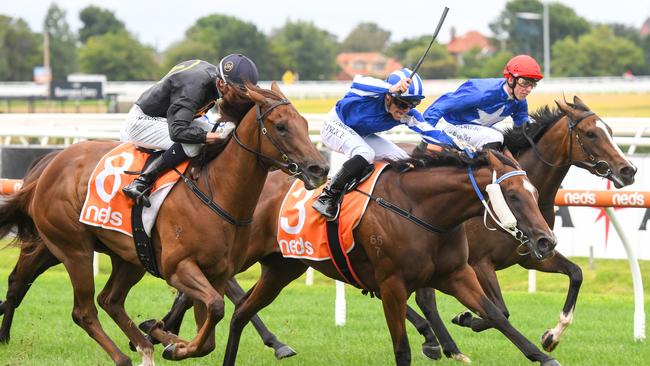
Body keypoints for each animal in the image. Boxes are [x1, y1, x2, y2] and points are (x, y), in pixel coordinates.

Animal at [0, 81, 326, 364]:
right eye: (281, 126)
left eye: (305, 124)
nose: (319, 168)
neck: (216, 191)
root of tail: (49, 165)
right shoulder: (179, 267)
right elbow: (216, 308)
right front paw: (170, 341)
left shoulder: (216, 274)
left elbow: (208, 333)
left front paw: (167, 338)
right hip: (72, 248)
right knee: (82, 310)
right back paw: (123, 356)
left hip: (129, 255)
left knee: (110, 300)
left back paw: (145, 345)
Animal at [215, 149, 560, 366]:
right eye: (513, 195)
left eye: (534, 192)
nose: (547, 240)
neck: (421, 210)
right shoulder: (392, 285)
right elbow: (402, 350)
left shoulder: (457, 274)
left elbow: (497, 315)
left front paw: (544, 356)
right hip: (235, 254)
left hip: (282, 268)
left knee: (241, 311)